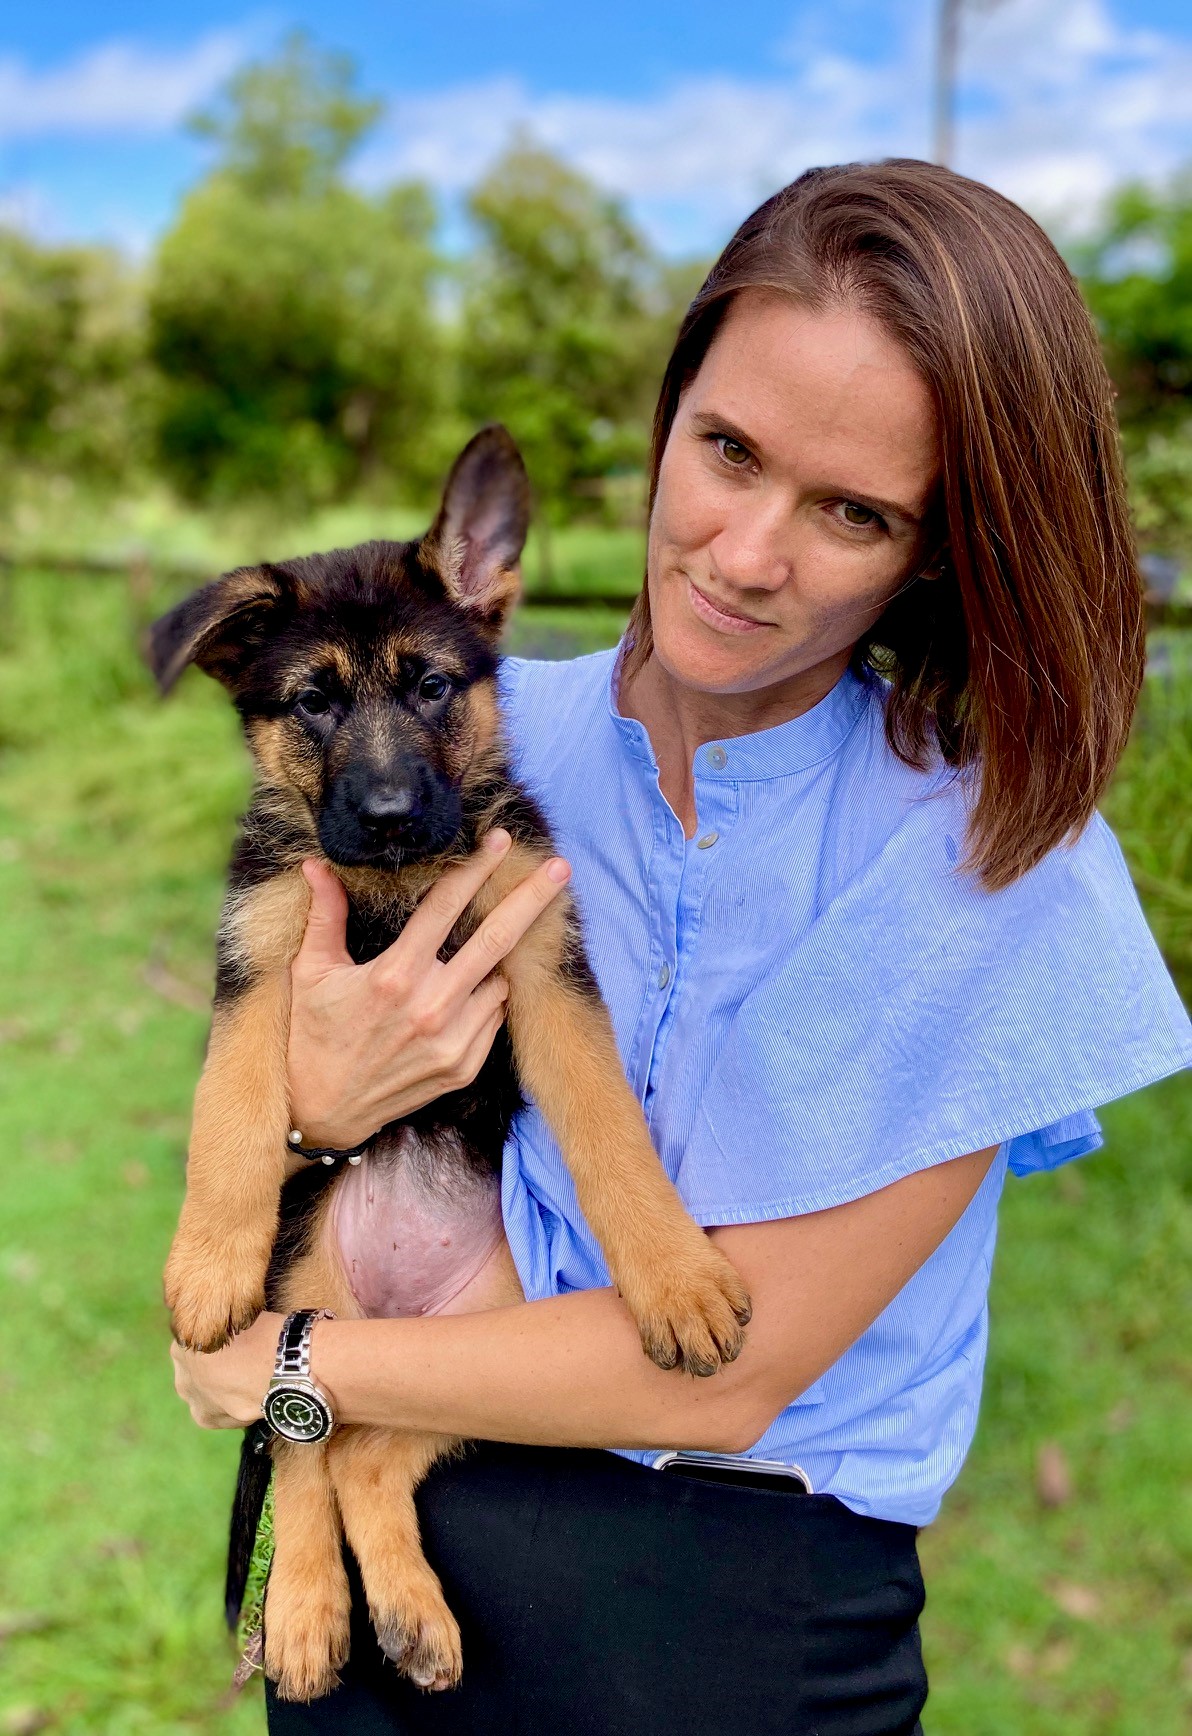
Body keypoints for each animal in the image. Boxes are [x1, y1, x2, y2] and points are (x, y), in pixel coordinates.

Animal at [146, 427, 746, 1701]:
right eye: (312, 700)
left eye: (431, 685)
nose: (382, 815)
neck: (393, 883)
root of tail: (394, 1303)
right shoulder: (260, 956)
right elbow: (234, 1105)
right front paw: (206, 1259)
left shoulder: (544, 966)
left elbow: (610, 1131)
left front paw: (676, 1278)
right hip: (307, 1289)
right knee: (307, 1448)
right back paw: (310, 1612)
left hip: (494, 1345)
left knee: (364, 1452)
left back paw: (409, 1615)